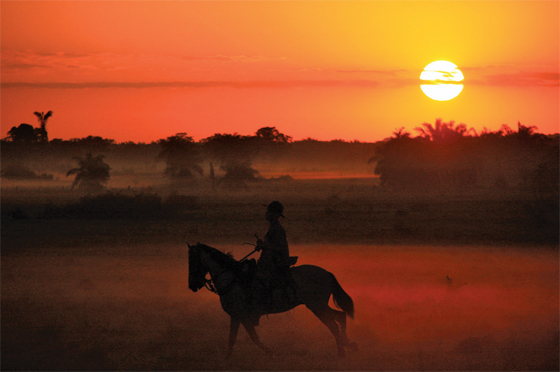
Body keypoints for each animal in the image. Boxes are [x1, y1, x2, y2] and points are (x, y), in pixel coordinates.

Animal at [186, 243, 356, 358]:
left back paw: (342, 351)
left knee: (333, 324)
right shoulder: (238, 316)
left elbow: (248, 338)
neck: (231, 279)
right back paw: (348, 345)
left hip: (317, 306)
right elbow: (237, 339)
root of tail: (326, 273)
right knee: (340, 316)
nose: (192, 285)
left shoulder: (240, 315)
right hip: (319, 306)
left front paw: (270, 353)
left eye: (193, 261)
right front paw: (228, 358)